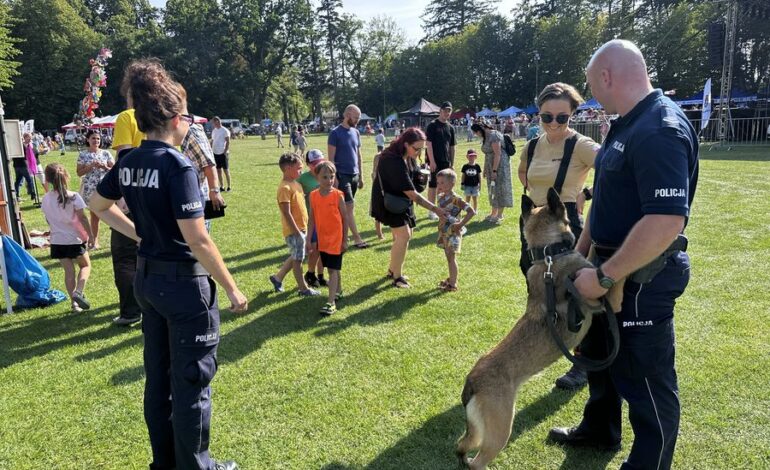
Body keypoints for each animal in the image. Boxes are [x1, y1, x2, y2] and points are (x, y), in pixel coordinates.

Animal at [452, 188, 620, 470]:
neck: (549, 256)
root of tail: (472, 380)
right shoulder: (597, 301)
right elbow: (605, 276)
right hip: (500, 431)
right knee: (477, 461)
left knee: (463, 447)